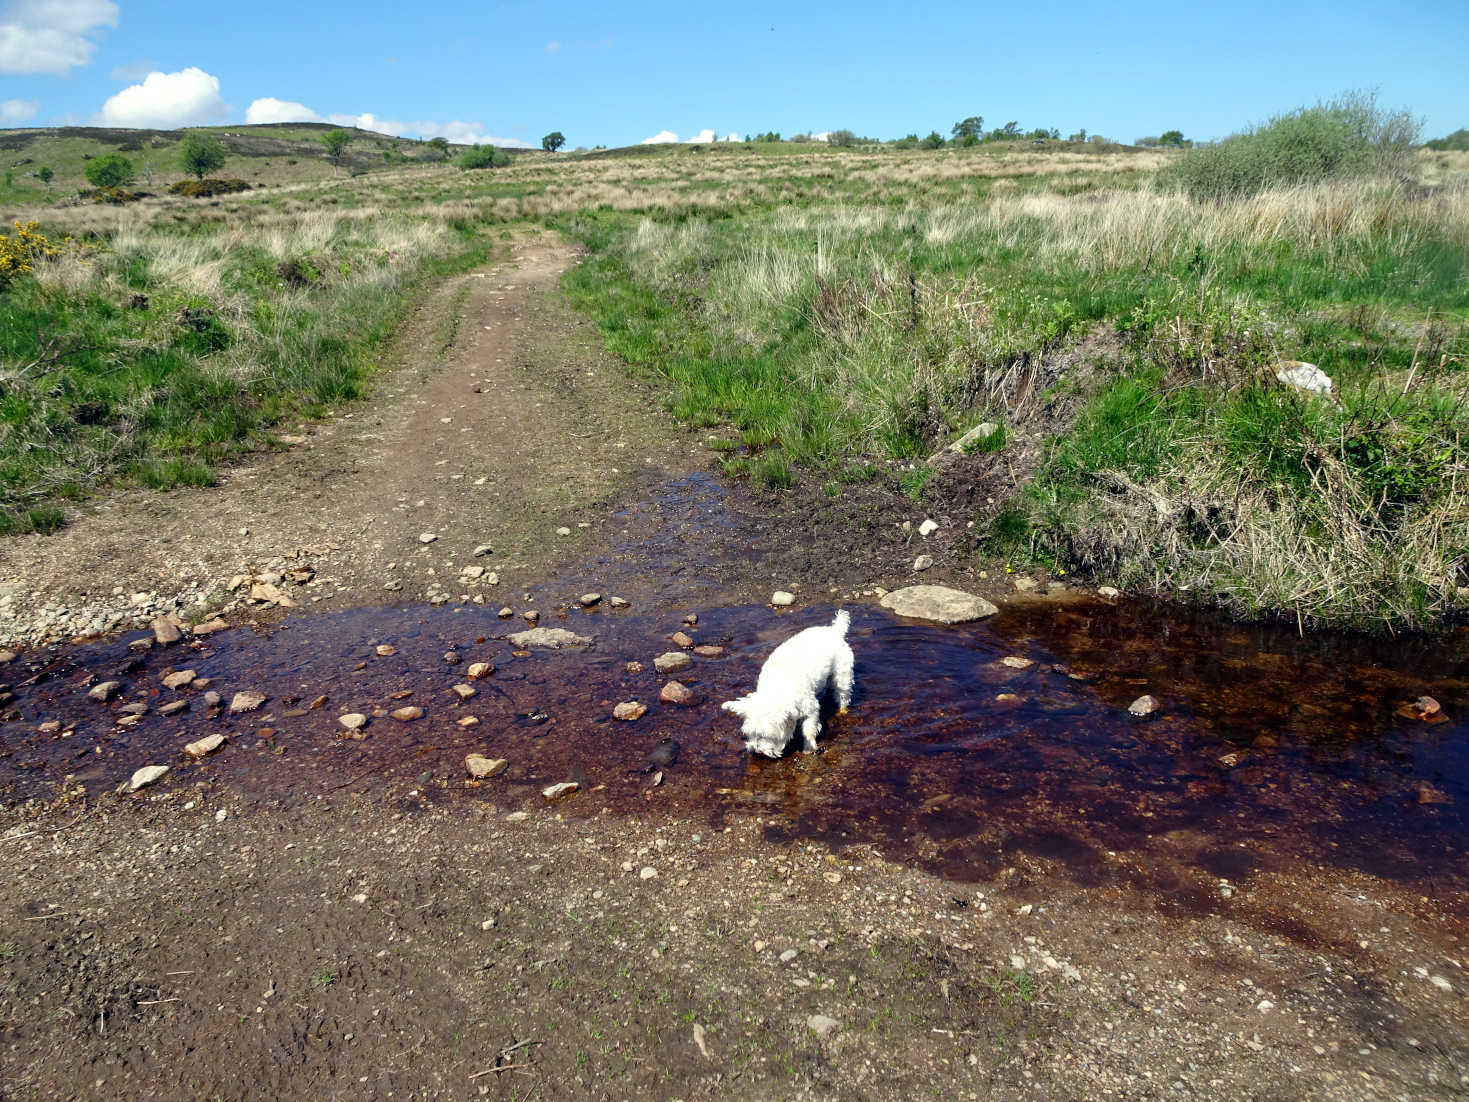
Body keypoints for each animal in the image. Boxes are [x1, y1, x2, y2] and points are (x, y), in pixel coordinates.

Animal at [719, 614, 857, 758]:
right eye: (749, 734)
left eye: (766, 736)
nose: (756, 751)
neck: (777, 686)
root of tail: (834, 630)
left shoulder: (811, 709)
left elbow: (808, 730)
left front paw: (808, 747)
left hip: (842, 676)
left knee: (843, 695)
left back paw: (842, 710)